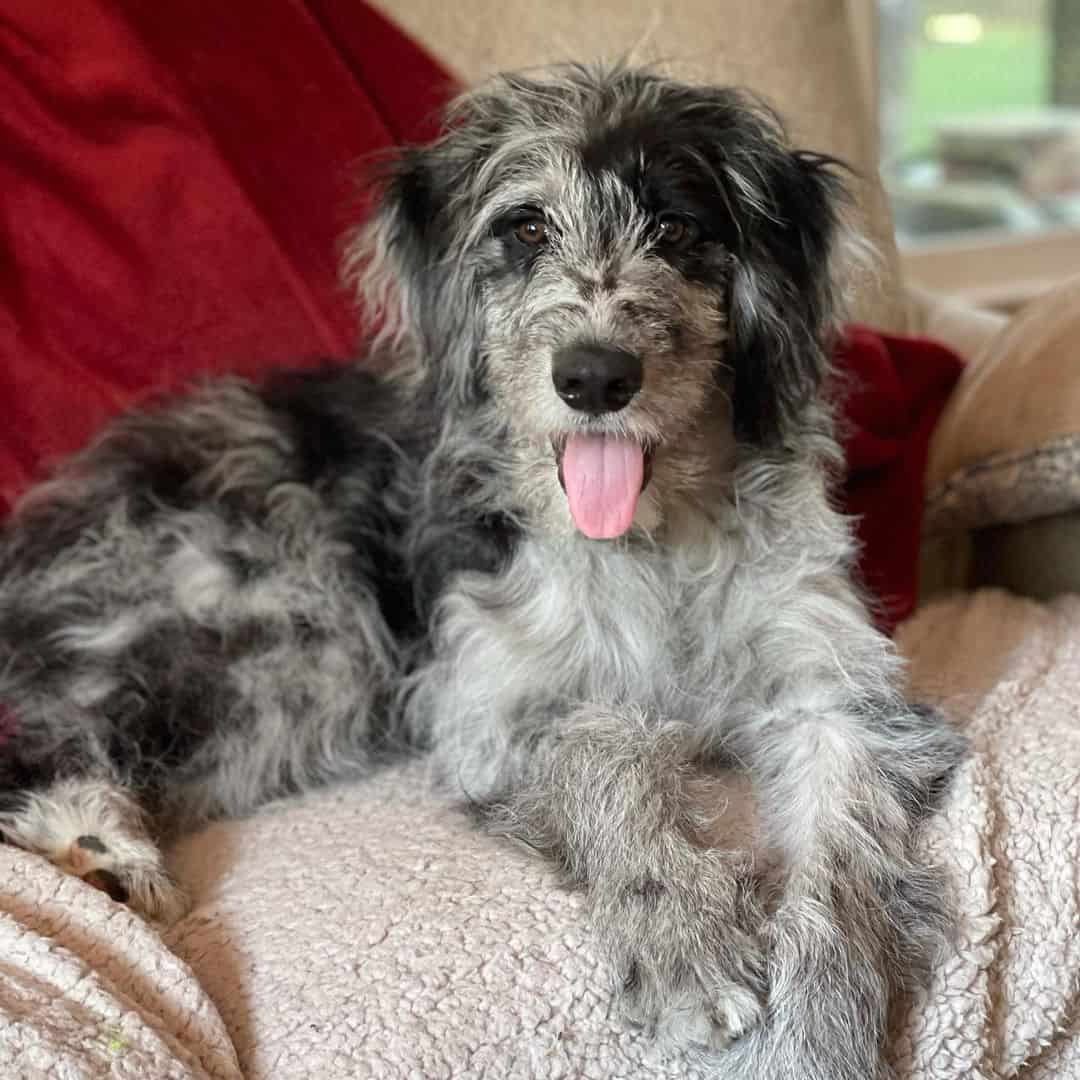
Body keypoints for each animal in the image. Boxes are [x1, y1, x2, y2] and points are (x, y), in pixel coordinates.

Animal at [0, 65, 963, 1071]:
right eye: (527, 228)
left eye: (676, 228)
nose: (594, 376)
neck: (650, 547)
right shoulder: (485, 706)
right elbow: (600, 751)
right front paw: (680, 942)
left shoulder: (837, 699)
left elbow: (843, 874)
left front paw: (814, 1038)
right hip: (294, 642)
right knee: (57, 732)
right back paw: (95, 839)